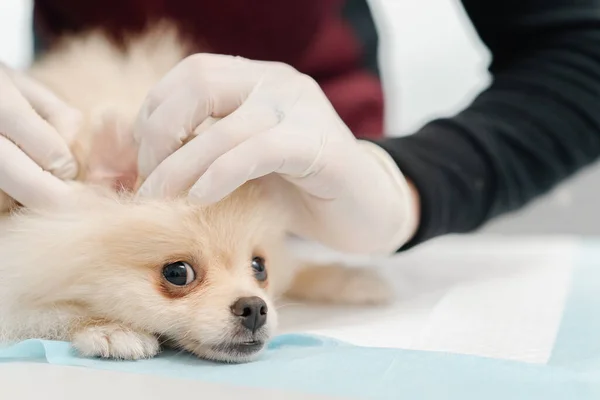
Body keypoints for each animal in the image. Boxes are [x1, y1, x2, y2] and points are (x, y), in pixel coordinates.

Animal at [0, 23, 394, 364]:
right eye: (178, 273)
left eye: (259, 267)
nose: (255, 307)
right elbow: (43, 314)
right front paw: (110, 329)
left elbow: (299, 269)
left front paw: (348, 277)